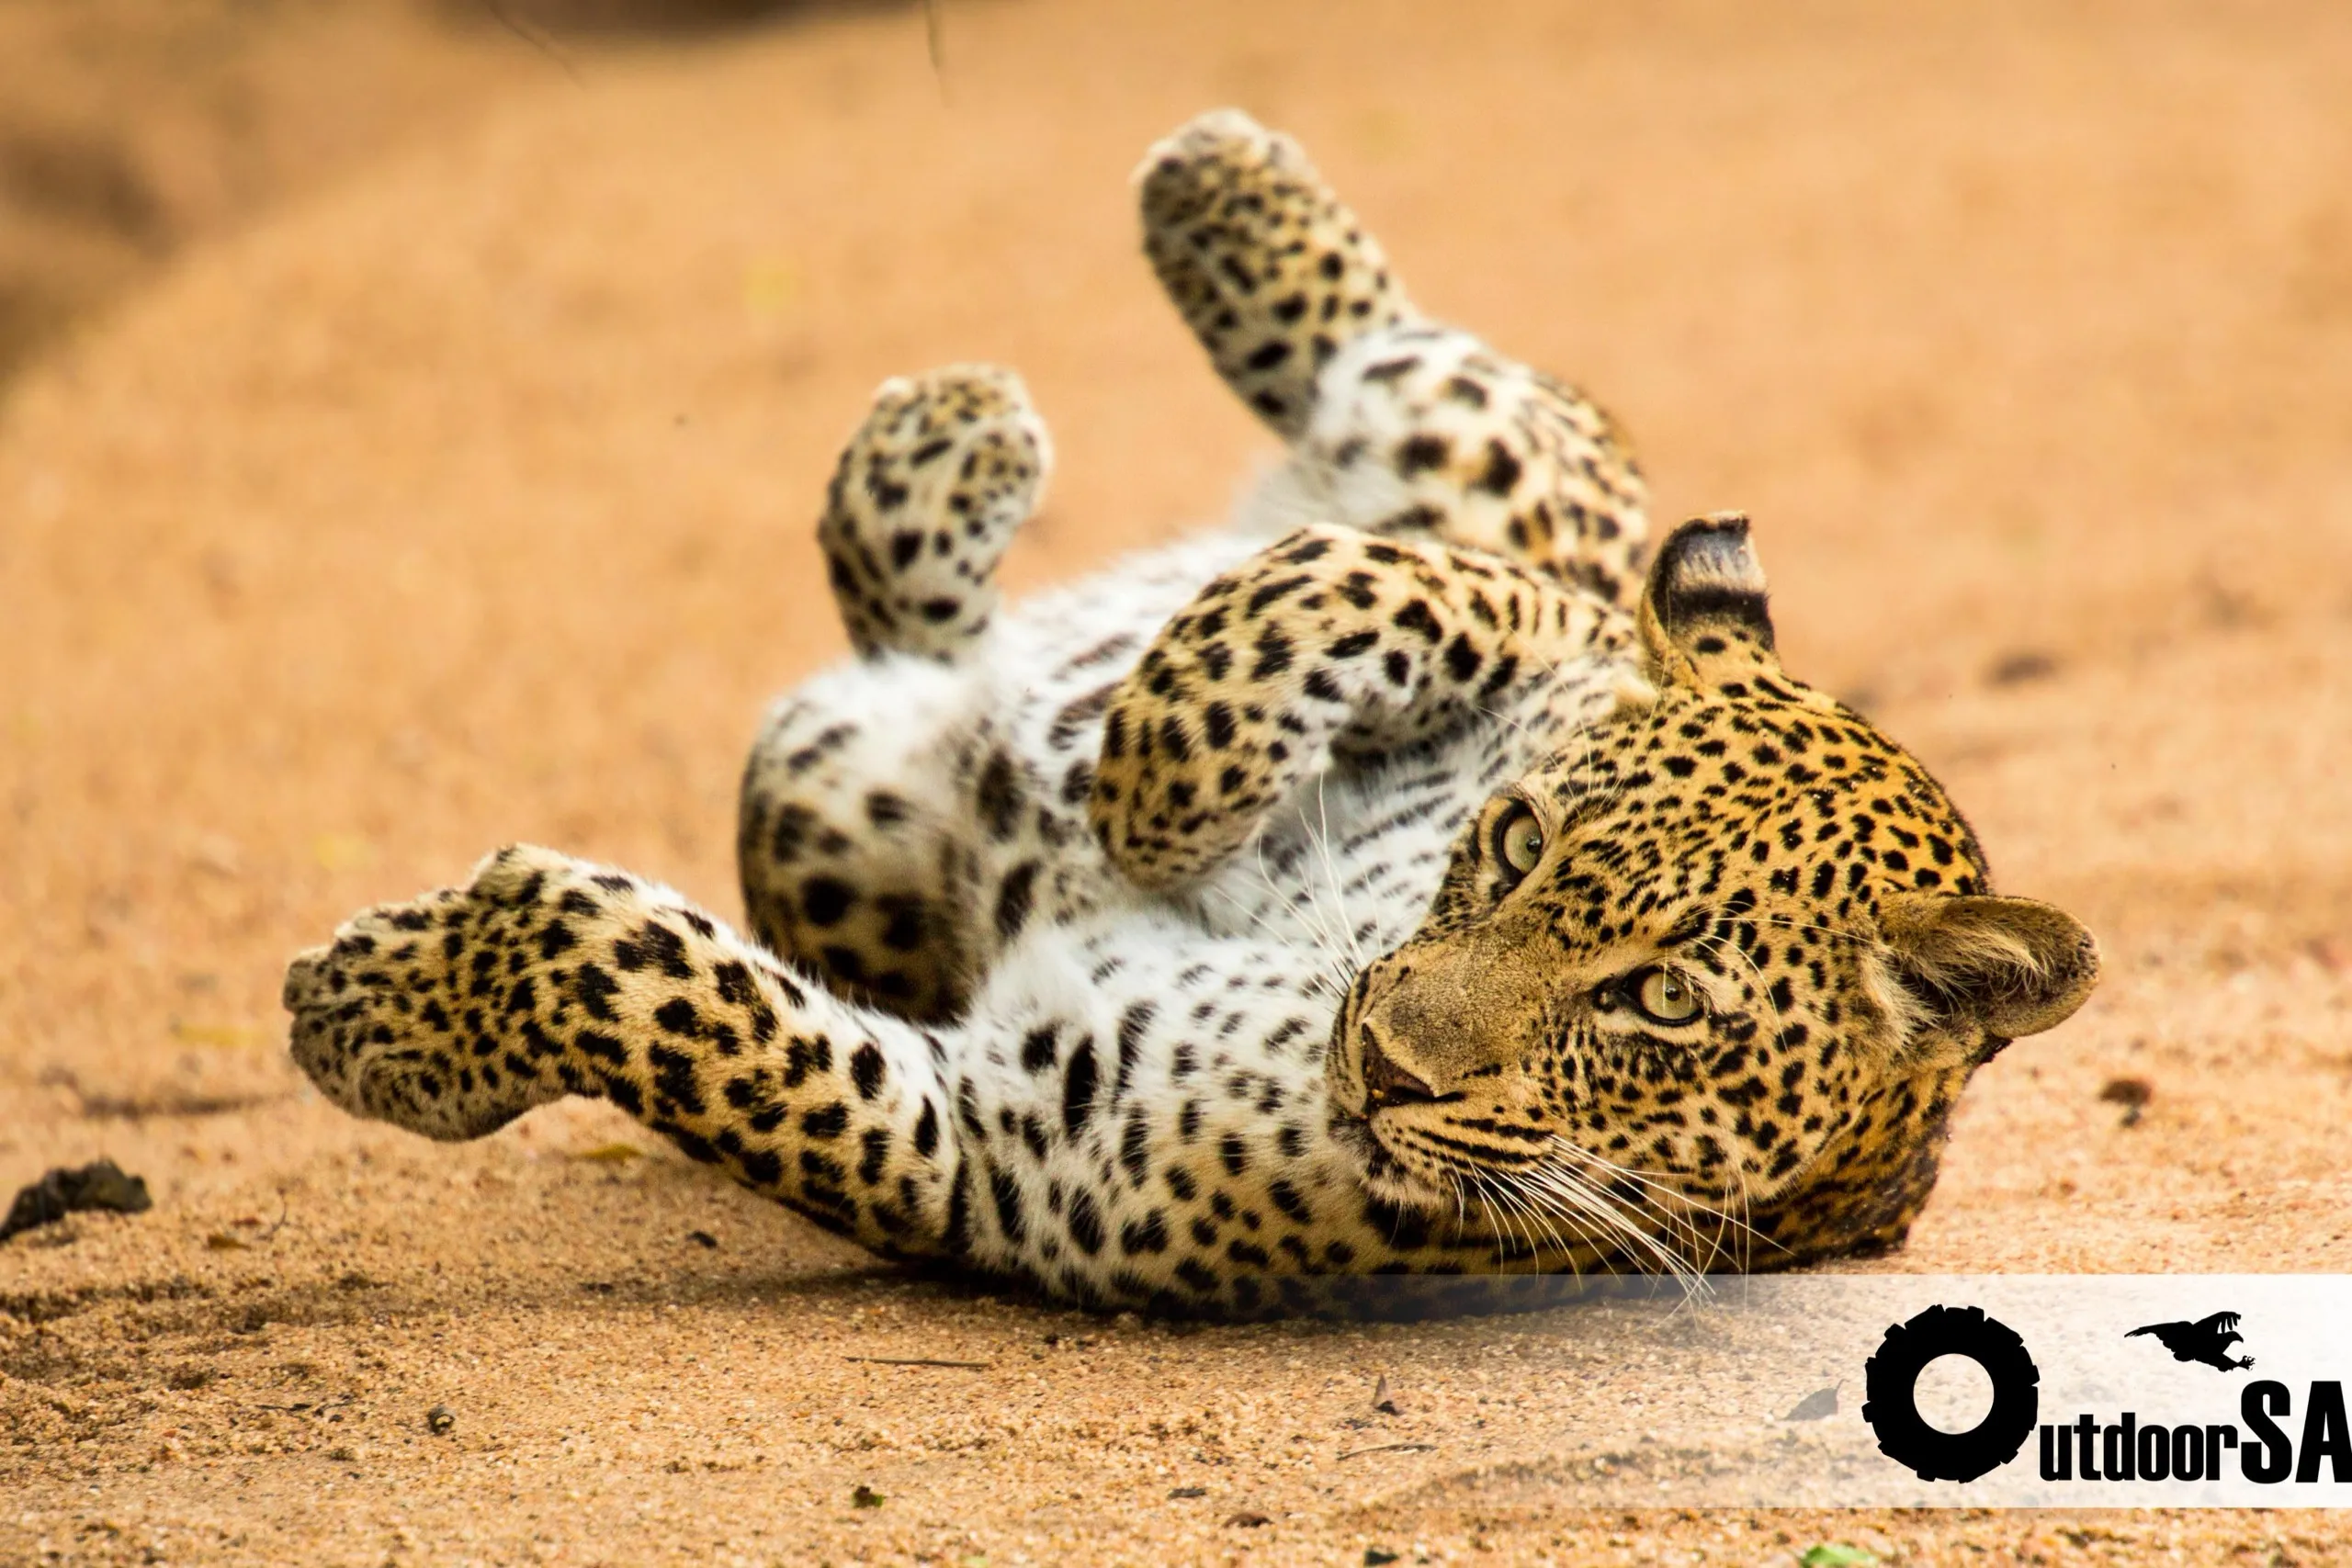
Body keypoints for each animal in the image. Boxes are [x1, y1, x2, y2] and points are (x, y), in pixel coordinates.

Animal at [283, 109, 2098, 1319]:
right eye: (1515, 845)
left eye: (1660, 1000)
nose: (1379, 1055)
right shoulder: (1543, 615)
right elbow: (1349, 585)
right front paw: (1157, 787)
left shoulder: (991, 1148)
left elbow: (677, 1010)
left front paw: (383, 1009)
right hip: (1472, 478)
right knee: (1418, 384)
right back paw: (1105, 296)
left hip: (825, 797)